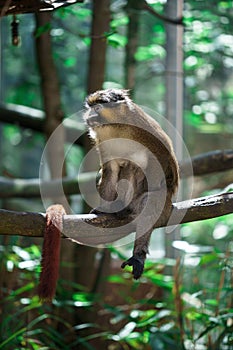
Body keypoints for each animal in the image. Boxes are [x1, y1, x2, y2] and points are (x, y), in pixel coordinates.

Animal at [83, 89, 178, 280]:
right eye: (89, 108)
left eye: (97, 108)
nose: (88, 116)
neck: (116, 126)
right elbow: (110, 169)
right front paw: (105, 209)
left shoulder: (145, 129)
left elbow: (162, 162)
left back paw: (138, 255)